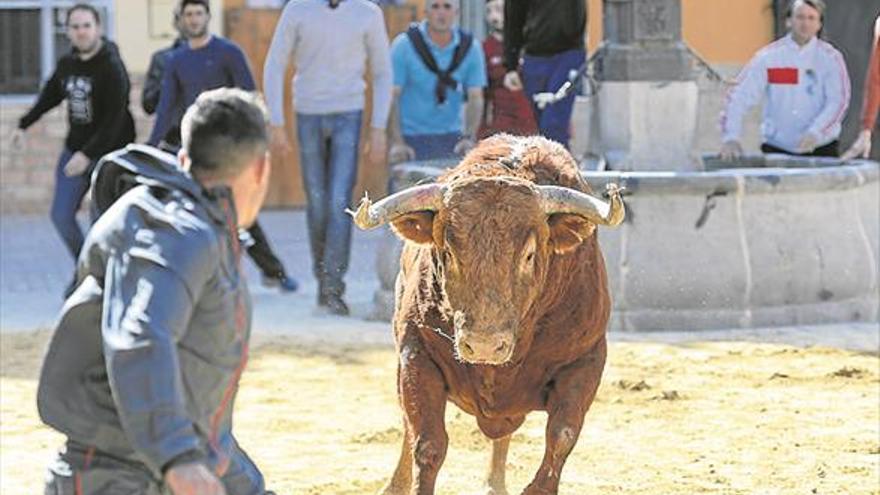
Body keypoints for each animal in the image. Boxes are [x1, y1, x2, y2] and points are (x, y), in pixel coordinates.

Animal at [350, 136, 624, 495]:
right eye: (449, 252)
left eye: (530, 254)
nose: (483, 345)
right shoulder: (416, 354)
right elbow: (427, 441)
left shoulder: (585, 359)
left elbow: (561, 435)